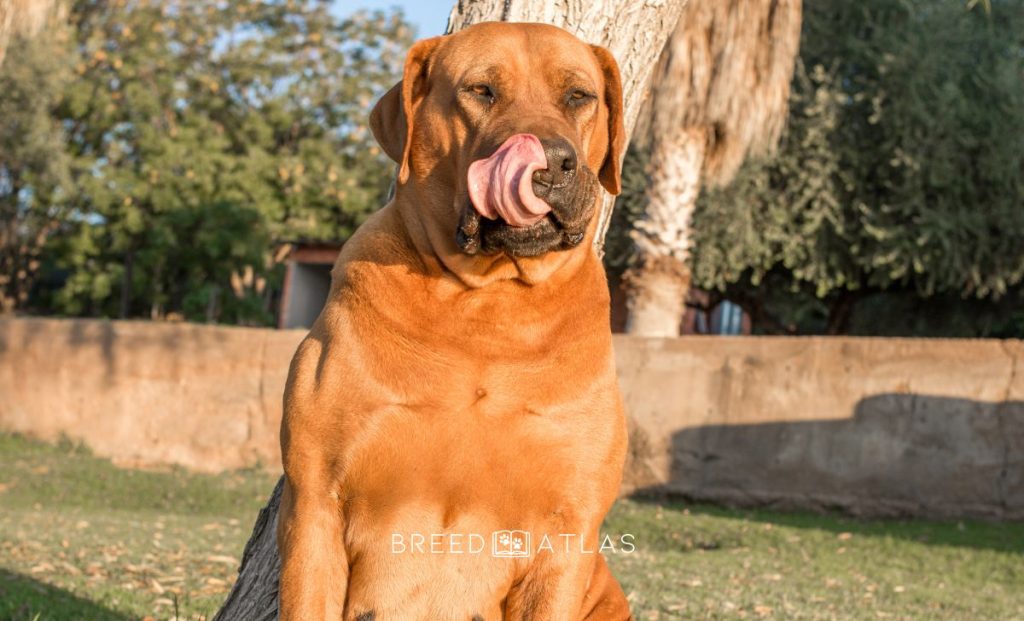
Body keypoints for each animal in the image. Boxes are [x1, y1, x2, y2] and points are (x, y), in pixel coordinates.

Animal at [280, 21, 630, 618]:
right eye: (481, 91)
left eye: (579, 96)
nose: (549, 161)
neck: (485, 303)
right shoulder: (314, 504)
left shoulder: (568, 530)